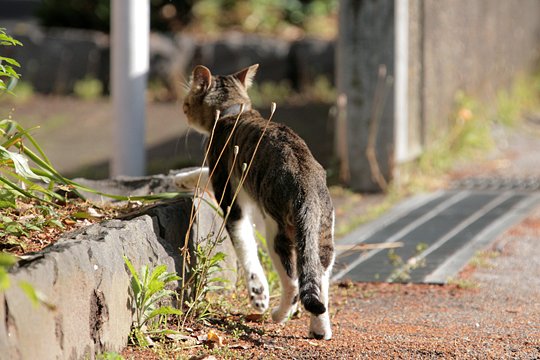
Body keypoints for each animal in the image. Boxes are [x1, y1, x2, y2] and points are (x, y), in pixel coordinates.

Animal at [177, 63, 336, 338]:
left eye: (187, 103)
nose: (184, 111)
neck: (233, 111)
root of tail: (308, 190)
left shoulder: (228, 193)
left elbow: (246, 247)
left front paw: (258, 294)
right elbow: (201, 174)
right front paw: (179, 180)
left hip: (277, 234)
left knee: (294, 284)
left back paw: (278, 315)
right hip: (322, 239)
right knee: (318, 280)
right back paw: (320, 330)